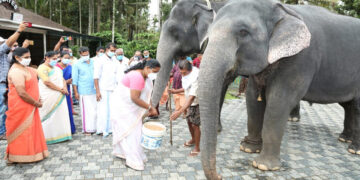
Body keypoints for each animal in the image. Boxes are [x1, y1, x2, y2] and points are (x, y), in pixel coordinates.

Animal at [198, 0, 360, 178]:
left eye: (243, 32)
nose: (220, 176)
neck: (282, 9)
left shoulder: (300, 59)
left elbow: (279, 101)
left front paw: (263, 166)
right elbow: (252, 98)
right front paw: (249, 149)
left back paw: (354, 150)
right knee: (350, 106)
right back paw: (345, 139)